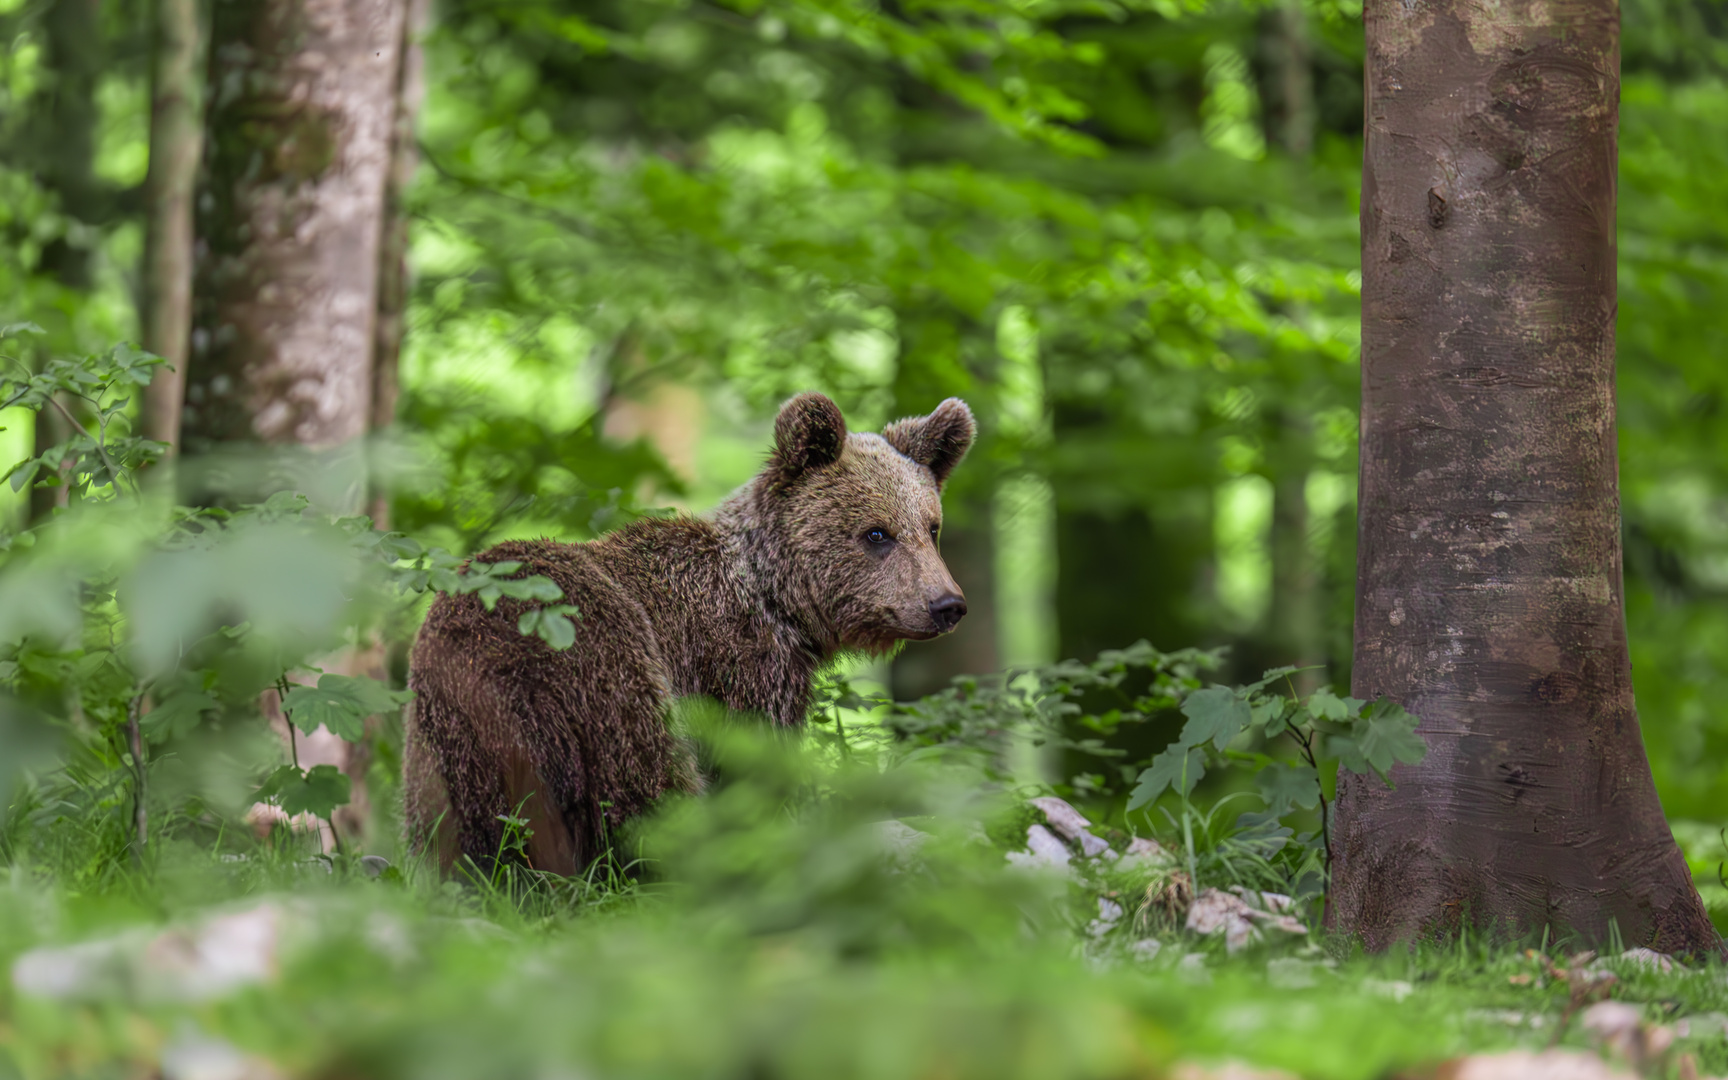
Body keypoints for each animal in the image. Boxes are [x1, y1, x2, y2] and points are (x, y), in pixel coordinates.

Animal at [400, 393, 974, 877]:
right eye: (877, 533)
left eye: (931, 526)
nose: (947, 605)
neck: (775, 600)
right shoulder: (739, 668)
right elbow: (752, 770)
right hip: (602, 652)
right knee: (646, 775)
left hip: (447, 731)